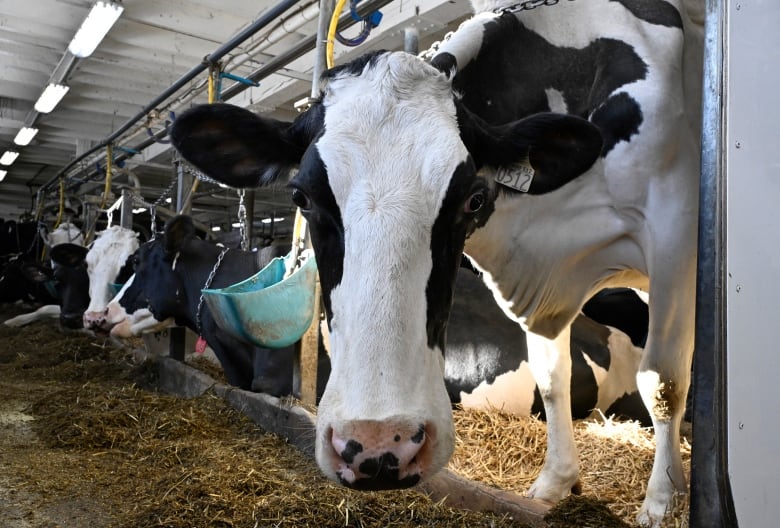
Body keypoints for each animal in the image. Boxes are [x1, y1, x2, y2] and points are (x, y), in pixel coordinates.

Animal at [168, 0, 704, 524]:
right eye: (301, 196)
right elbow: (554, 381)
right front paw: (554, 483)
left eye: (472, 198)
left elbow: (662, 380)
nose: (380, 445)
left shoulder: (673, 233)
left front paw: (660, 501)